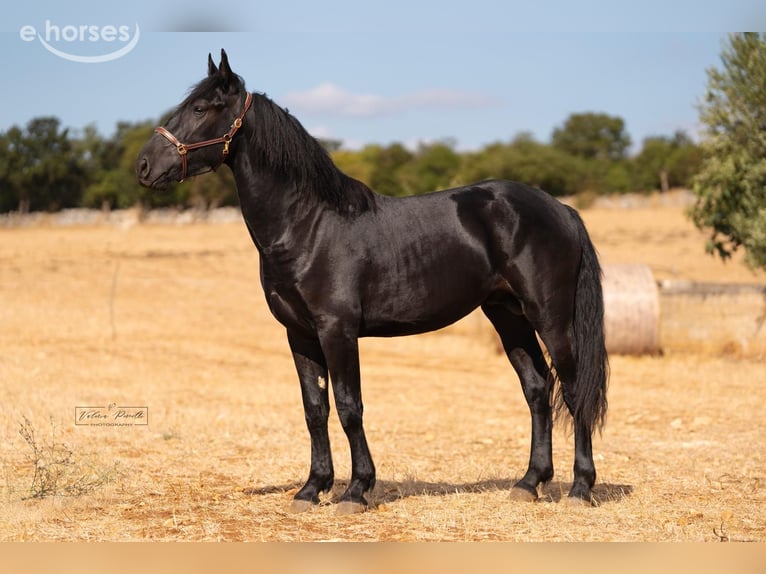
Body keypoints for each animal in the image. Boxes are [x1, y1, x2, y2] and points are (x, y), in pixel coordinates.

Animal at [136, 49, 608, 514]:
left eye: (200, 108)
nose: (143, 166)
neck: (309, 224)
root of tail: (562, 209)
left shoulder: (337, 331)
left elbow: (349, 407)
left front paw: (355, 490)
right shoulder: (299, 335)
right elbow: (314, 409)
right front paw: (311, 489)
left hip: (550, 318)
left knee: (573, 390)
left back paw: (579, 489)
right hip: (507, 315)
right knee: (537, 388)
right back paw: (529, 482)